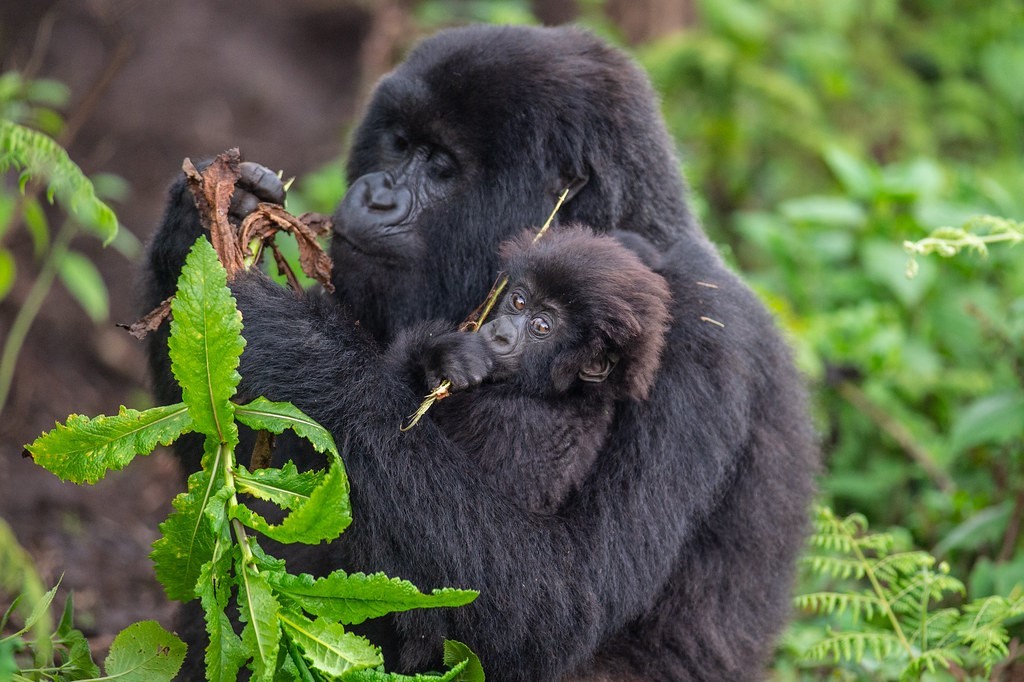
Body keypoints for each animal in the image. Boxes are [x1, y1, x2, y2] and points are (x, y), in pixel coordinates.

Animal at [385, 225, 671, 512]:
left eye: (541, 326)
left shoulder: (506, 416)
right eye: (519, 301)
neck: (570, 395)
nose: (500, 333)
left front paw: (441, 357)